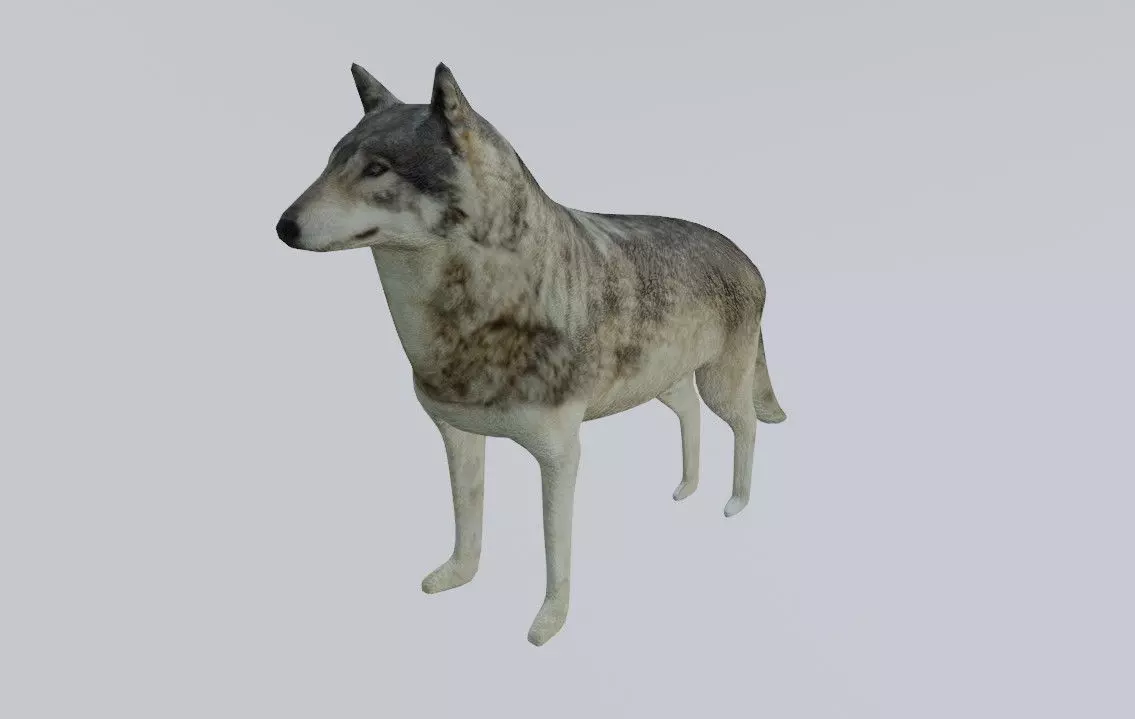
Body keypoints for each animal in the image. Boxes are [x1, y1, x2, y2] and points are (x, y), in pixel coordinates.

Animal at [276, 62, 787, 646]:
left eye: (376, 169)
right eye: (330, 163)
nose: (282, 226)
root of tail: (743, 253)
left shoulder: (560, 457)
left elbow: (555, 556)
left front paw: (549, 623)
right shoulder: (458, 438)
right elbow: (468, 528)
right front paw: (457, 577)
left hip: (721, 385)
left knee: (745, 425)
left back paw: (736, 501)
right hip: (665, 386)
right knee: (691, 417)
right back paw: (686, 488)